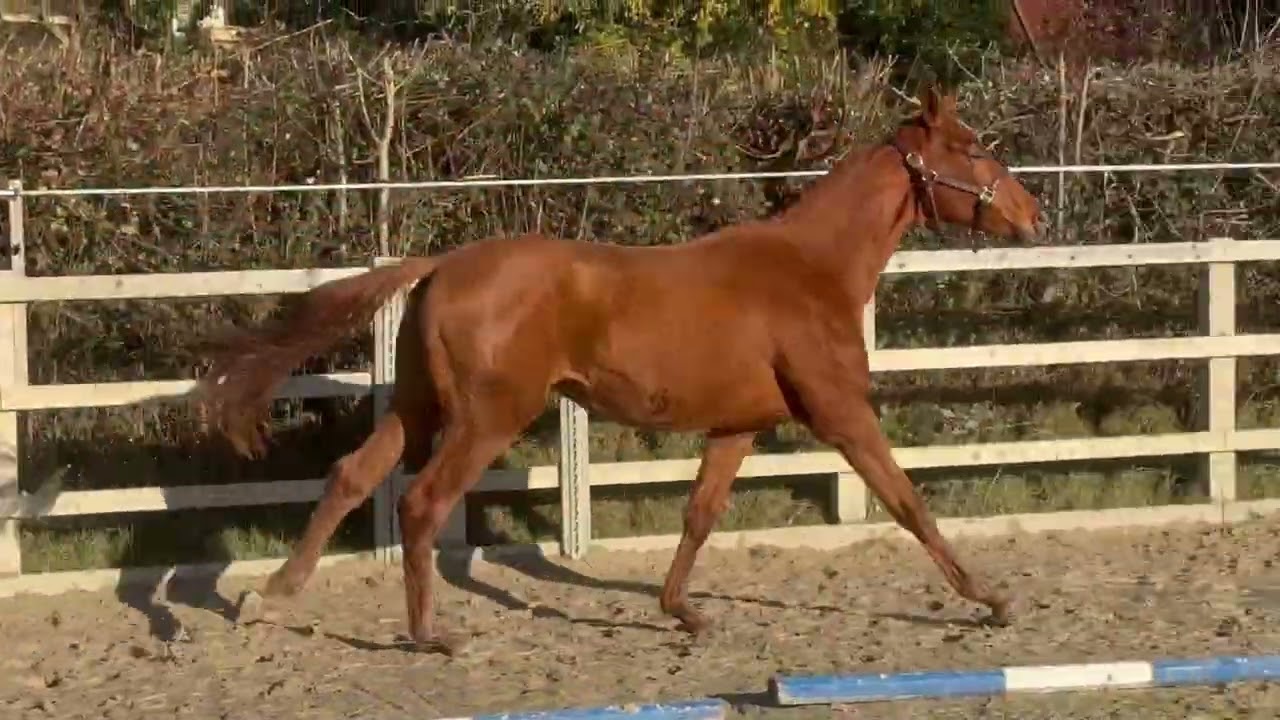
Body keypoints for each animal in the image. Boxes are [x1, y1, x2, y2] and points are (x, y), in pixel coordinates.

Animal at [199, 87, 1045, 654]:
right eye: (972, 145)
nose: (1032, 215)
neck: (813, 270)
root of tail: (441, 265)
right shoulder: (841, 414)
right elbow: (908, 503)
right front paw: (992, 600)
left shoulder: (738, 426)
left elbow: (700, 514)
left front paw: (684, 611)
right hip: (487, 418)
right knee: (422, 504)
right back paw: (429, 634)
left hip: (417, 408)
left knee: (350, 477)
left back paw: (266, 598)